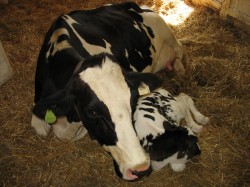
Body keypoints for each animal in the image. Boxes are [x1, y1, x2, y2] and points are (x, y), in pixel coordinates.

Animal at [30, 2, 184, 180]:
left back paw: (180, 69)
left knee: (179, 51)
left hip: (167, 32)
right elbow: (41, 128)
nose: (140, 168)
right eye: (92, 112)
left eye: (133, 101)